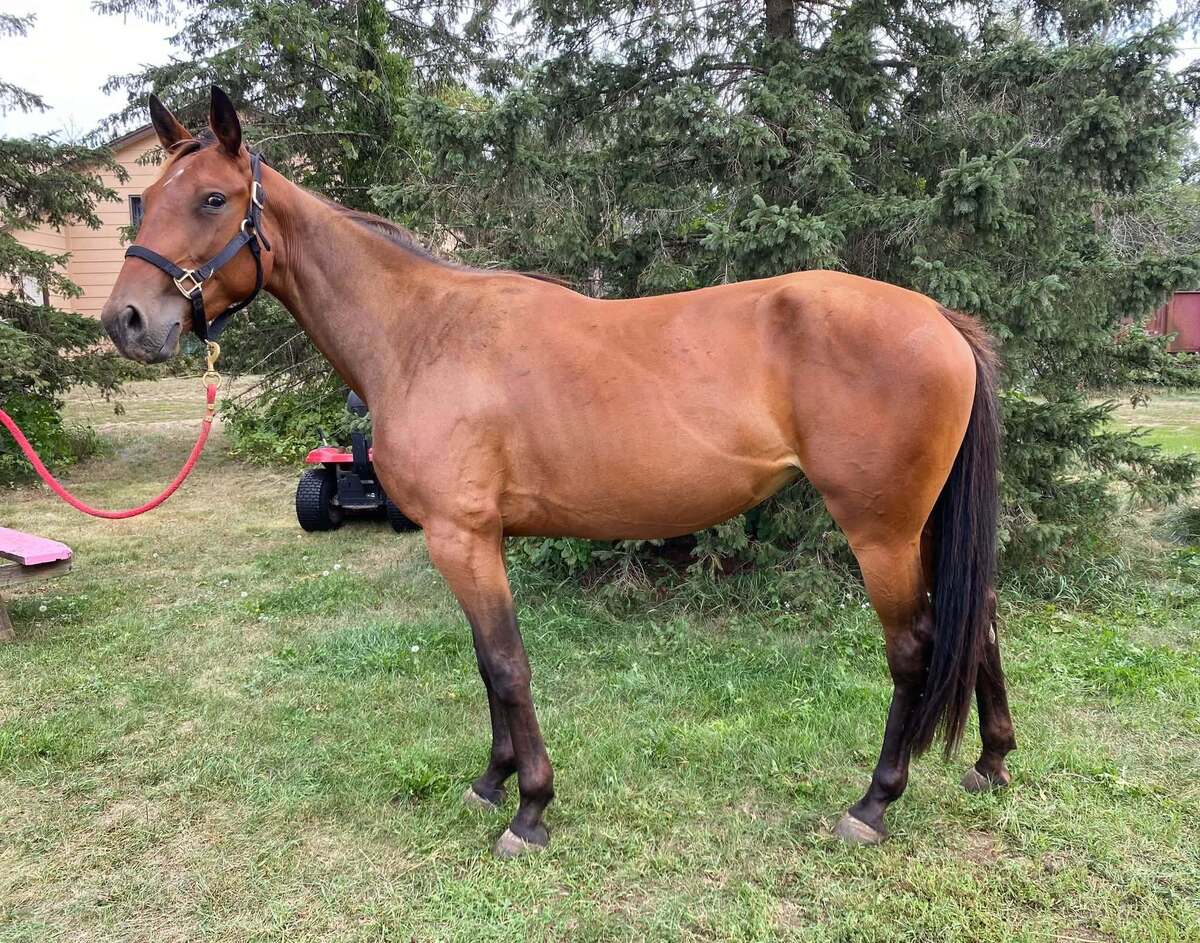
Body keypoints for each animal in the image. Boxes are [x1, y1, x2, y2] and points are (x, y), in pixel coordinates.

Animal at [100, 87, 1016, 858]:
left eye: (212, 199)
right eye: (149, 197)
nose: (127, 321)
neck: (423, 333)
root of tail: (939, 316)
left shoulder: (461, 536)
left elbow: (508, 665)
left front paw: (530, 809)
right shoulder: (475, 540)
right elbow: (486, 663)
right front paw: (490, 781)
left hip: (882, 532)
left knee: (915, 647)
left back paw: (874, 802)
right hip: (926, 527)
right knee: (980, 624)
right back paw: (992, 762)